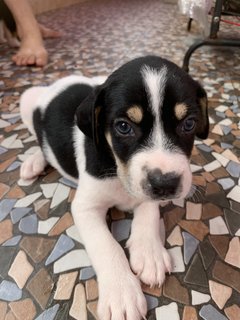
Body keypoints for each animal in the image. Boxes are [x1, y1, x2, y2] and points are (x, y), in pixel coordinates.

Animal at [19, 56, 209, 318]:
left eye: (189, 124)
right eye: (123, 127)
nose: (166, 185)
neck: (118, 172)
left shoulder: (146, 192)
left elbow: (149, 213)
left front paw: (149, 252)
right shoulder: (85, 208)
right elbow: (106, 246)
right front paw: (122, 292)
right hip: (26, 100)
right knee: (37, 140)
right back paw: (34, 160)